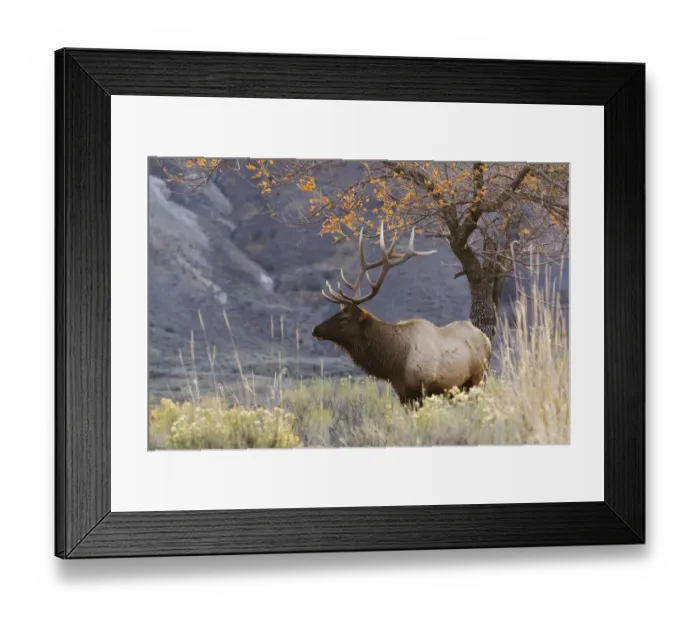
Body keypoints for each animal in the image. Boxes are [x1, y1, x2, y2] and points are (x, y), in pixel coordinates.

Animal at [312, 223, 492, 406]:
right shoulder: (402, 393)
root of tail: (487, 340)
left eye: (344, 318)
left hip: (478, 377)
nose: (316, 329)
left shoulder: (422, 388)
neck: (396, 363)